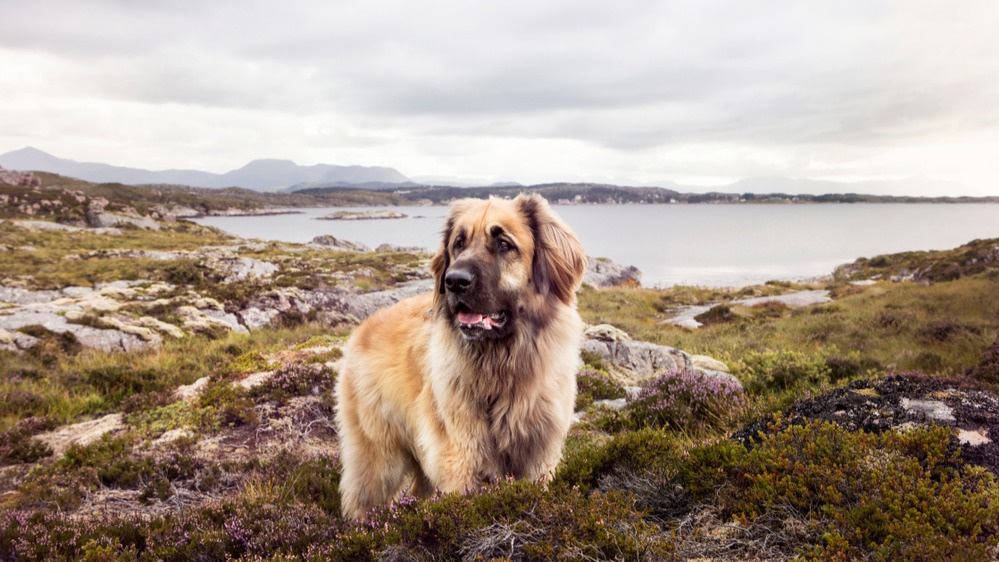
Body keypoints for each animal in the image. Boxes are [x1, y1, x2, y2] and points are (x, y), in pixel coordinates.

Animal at [336, 192, 584, 516]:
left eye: (503, 244)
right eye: (458, 243)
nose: (454, 281)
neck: (501, 368)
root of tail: (362, 328)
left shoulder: (538, 460)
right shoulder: (463, 461)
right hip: (379, 461)